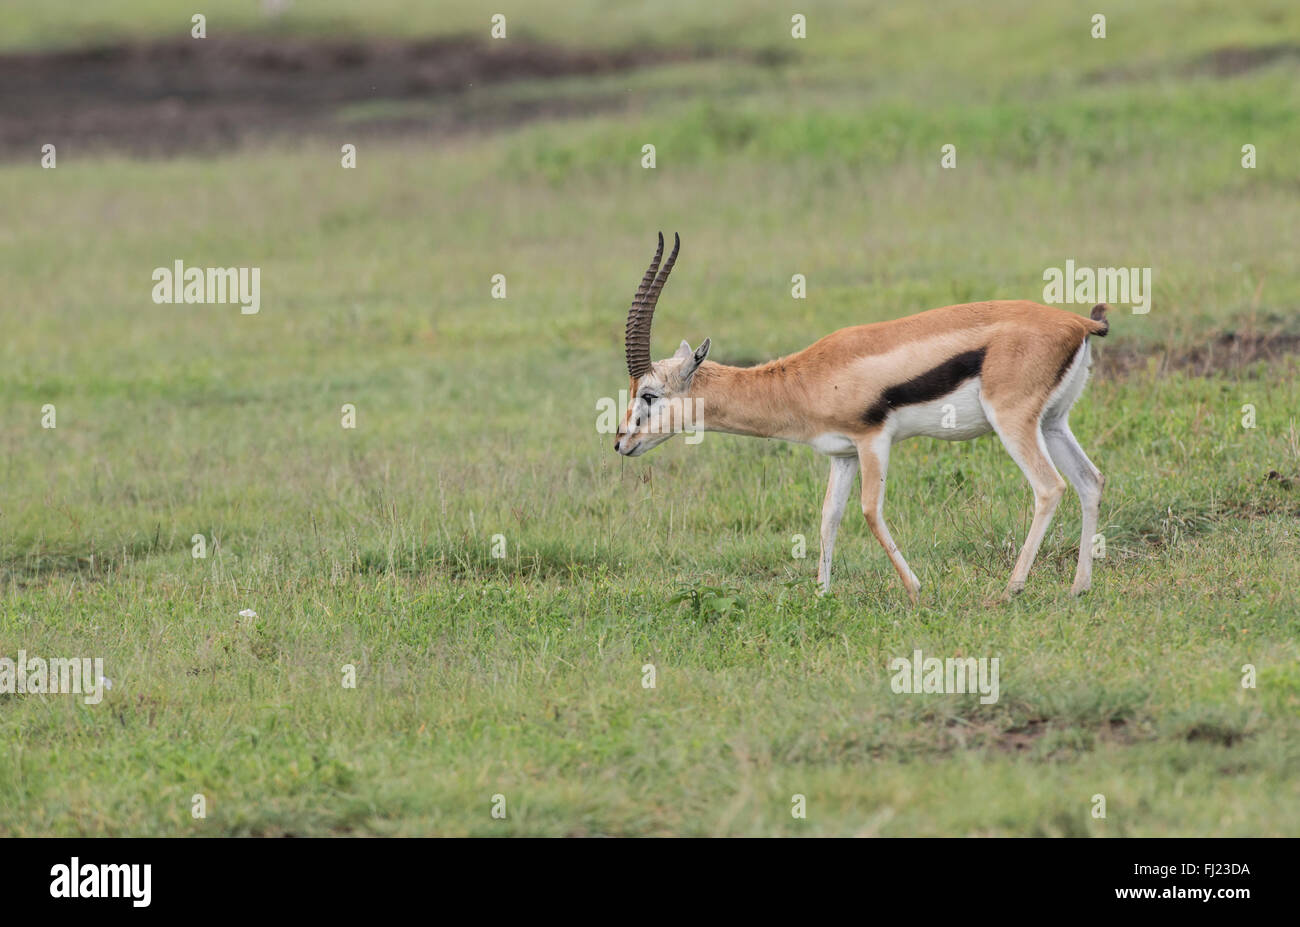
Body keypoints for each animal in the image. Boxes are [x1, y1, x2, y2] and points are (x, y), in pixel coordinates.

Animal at [613, 233, 1109, 602]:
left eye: (650, 395)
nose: (620, 442)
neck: (804, 379)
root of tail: (1079, 324)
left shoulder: (873, 440)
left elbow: (870, 511)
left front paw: (915, 589)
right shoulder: (844, 454)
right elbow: (828, 515)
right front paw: (821, 594)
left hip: (1013, 422)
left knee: (1049, 487)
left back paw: (1010, 590)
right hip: (1052, 422)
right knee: (1090, 480)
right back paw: (1079, 588)